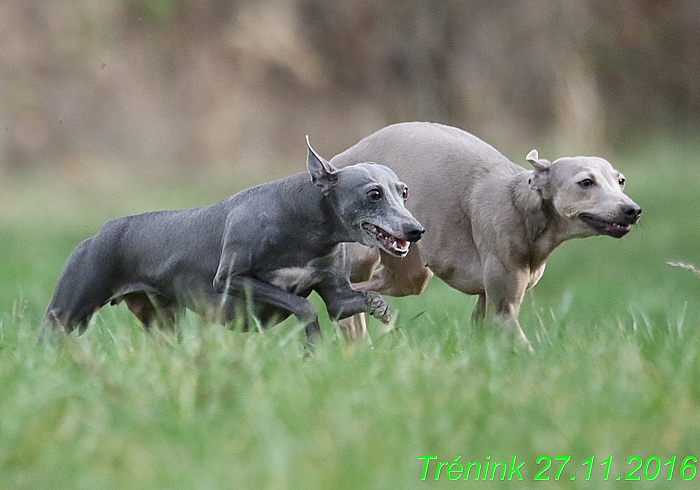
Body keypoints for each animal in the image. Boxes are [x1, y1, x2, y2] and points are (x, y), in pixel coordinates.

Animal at [46, 138, 426, 344]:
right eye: (374, 193)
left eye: (404, 191)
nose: (416, 230)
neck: (302, 224)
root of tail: (100, 231)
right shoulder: (233, 279)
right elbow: (303, 307)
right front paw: (311, 348)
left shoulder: (337, 296)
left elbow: (353, 302)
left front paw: (382, 313)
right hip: (65, 314)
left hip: (162, 321)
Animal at [330, 122, 644, 348]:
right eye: (586, 182)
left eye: (620, 180)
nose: (632, 210)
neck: (520, 206)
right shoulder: (502, 310)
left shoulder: (486, 301)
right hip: (367, 253)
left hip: (411, 270)